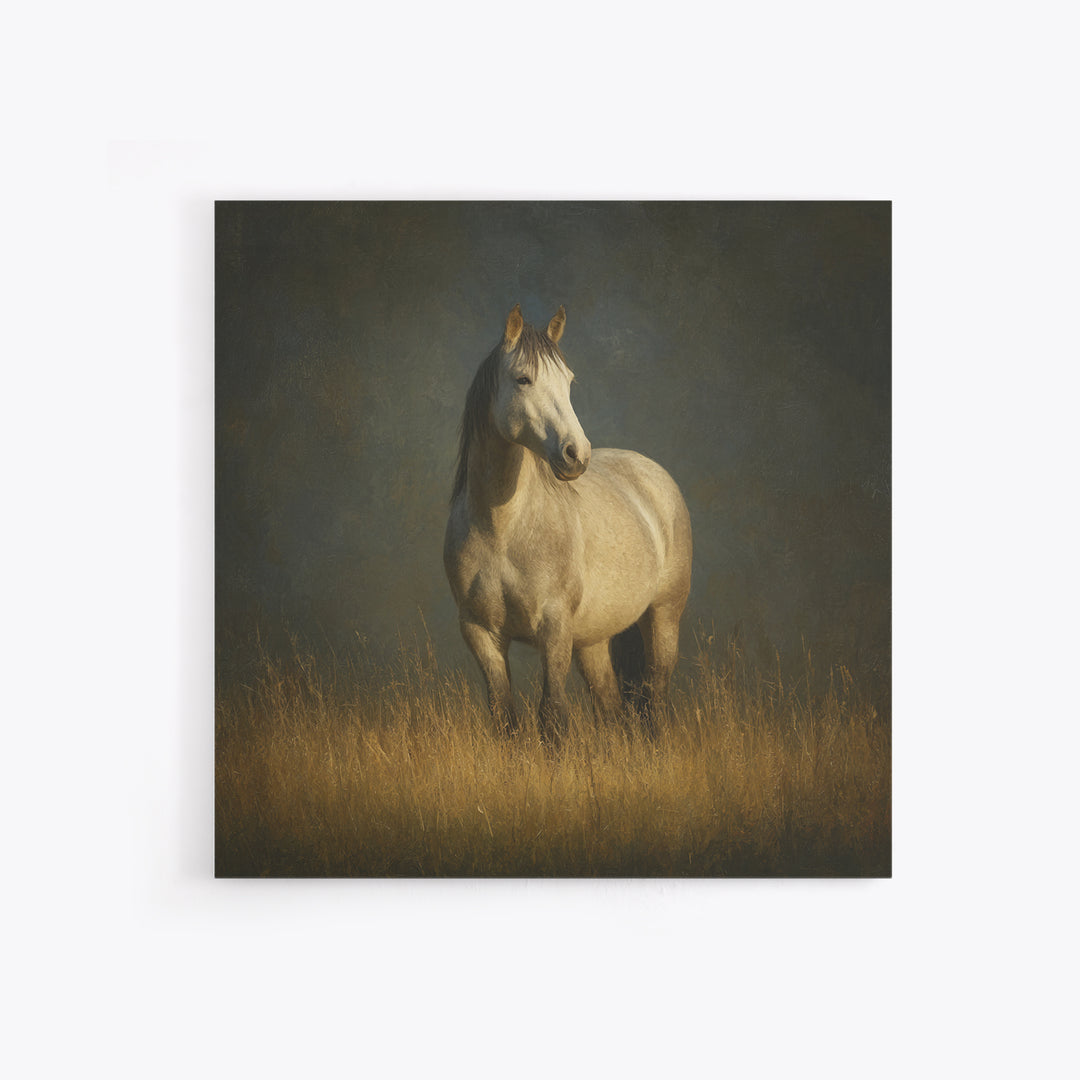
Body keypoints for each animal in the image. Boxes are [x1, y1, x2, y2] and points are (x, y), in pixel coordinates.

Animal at [443, 304, 692, 738]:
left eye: (569, 381)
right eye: (523, 379)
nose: (577, 454)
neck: (502, 529)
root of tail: (651, 472)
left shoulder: (555, 627)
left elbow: (552, 715)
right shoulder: (480, 632)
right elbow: (505, 717)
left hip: (663, 617)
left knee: (654, 698)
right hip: (592, 640)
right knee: (611, 708)